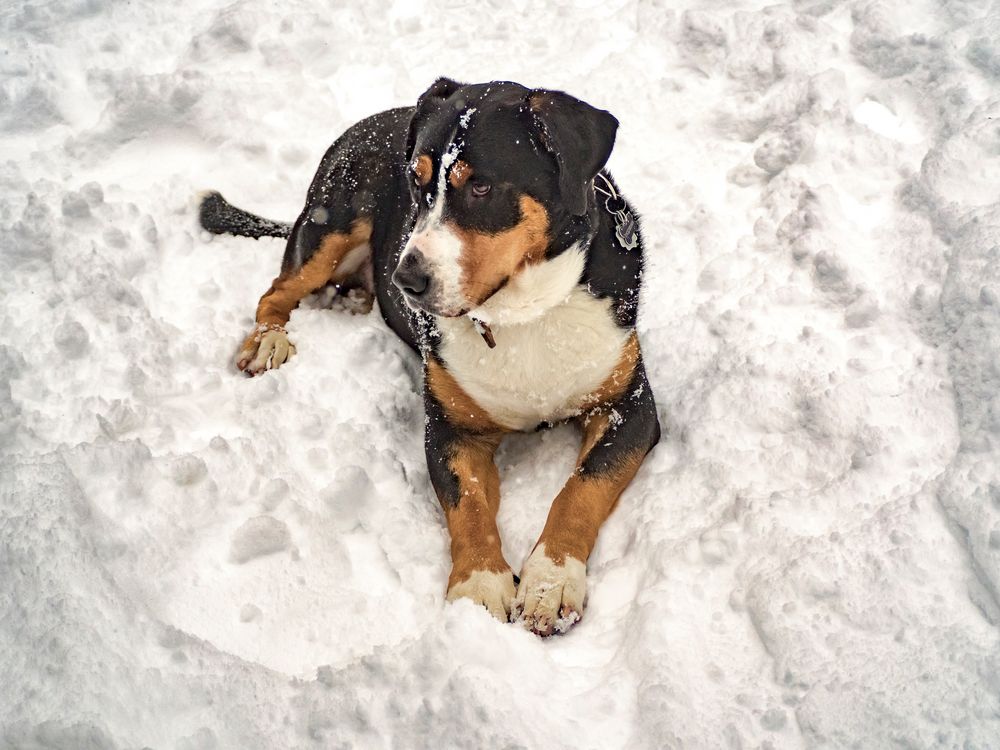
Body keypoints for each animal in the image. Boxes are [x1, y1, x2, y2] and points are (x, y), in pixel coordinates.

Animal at [198, 79, 660, 636]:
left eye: (480, 188)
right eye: (417, 186)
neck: (522, 317)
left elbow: (581, 489)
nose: (406, 279)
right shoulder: (450, 428)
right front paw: (480, 586)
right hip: (332, 220)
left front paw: (550, 582)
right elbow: (469, 505)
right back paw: (269, 340)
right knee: (277, 291)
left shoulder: (629, 407)